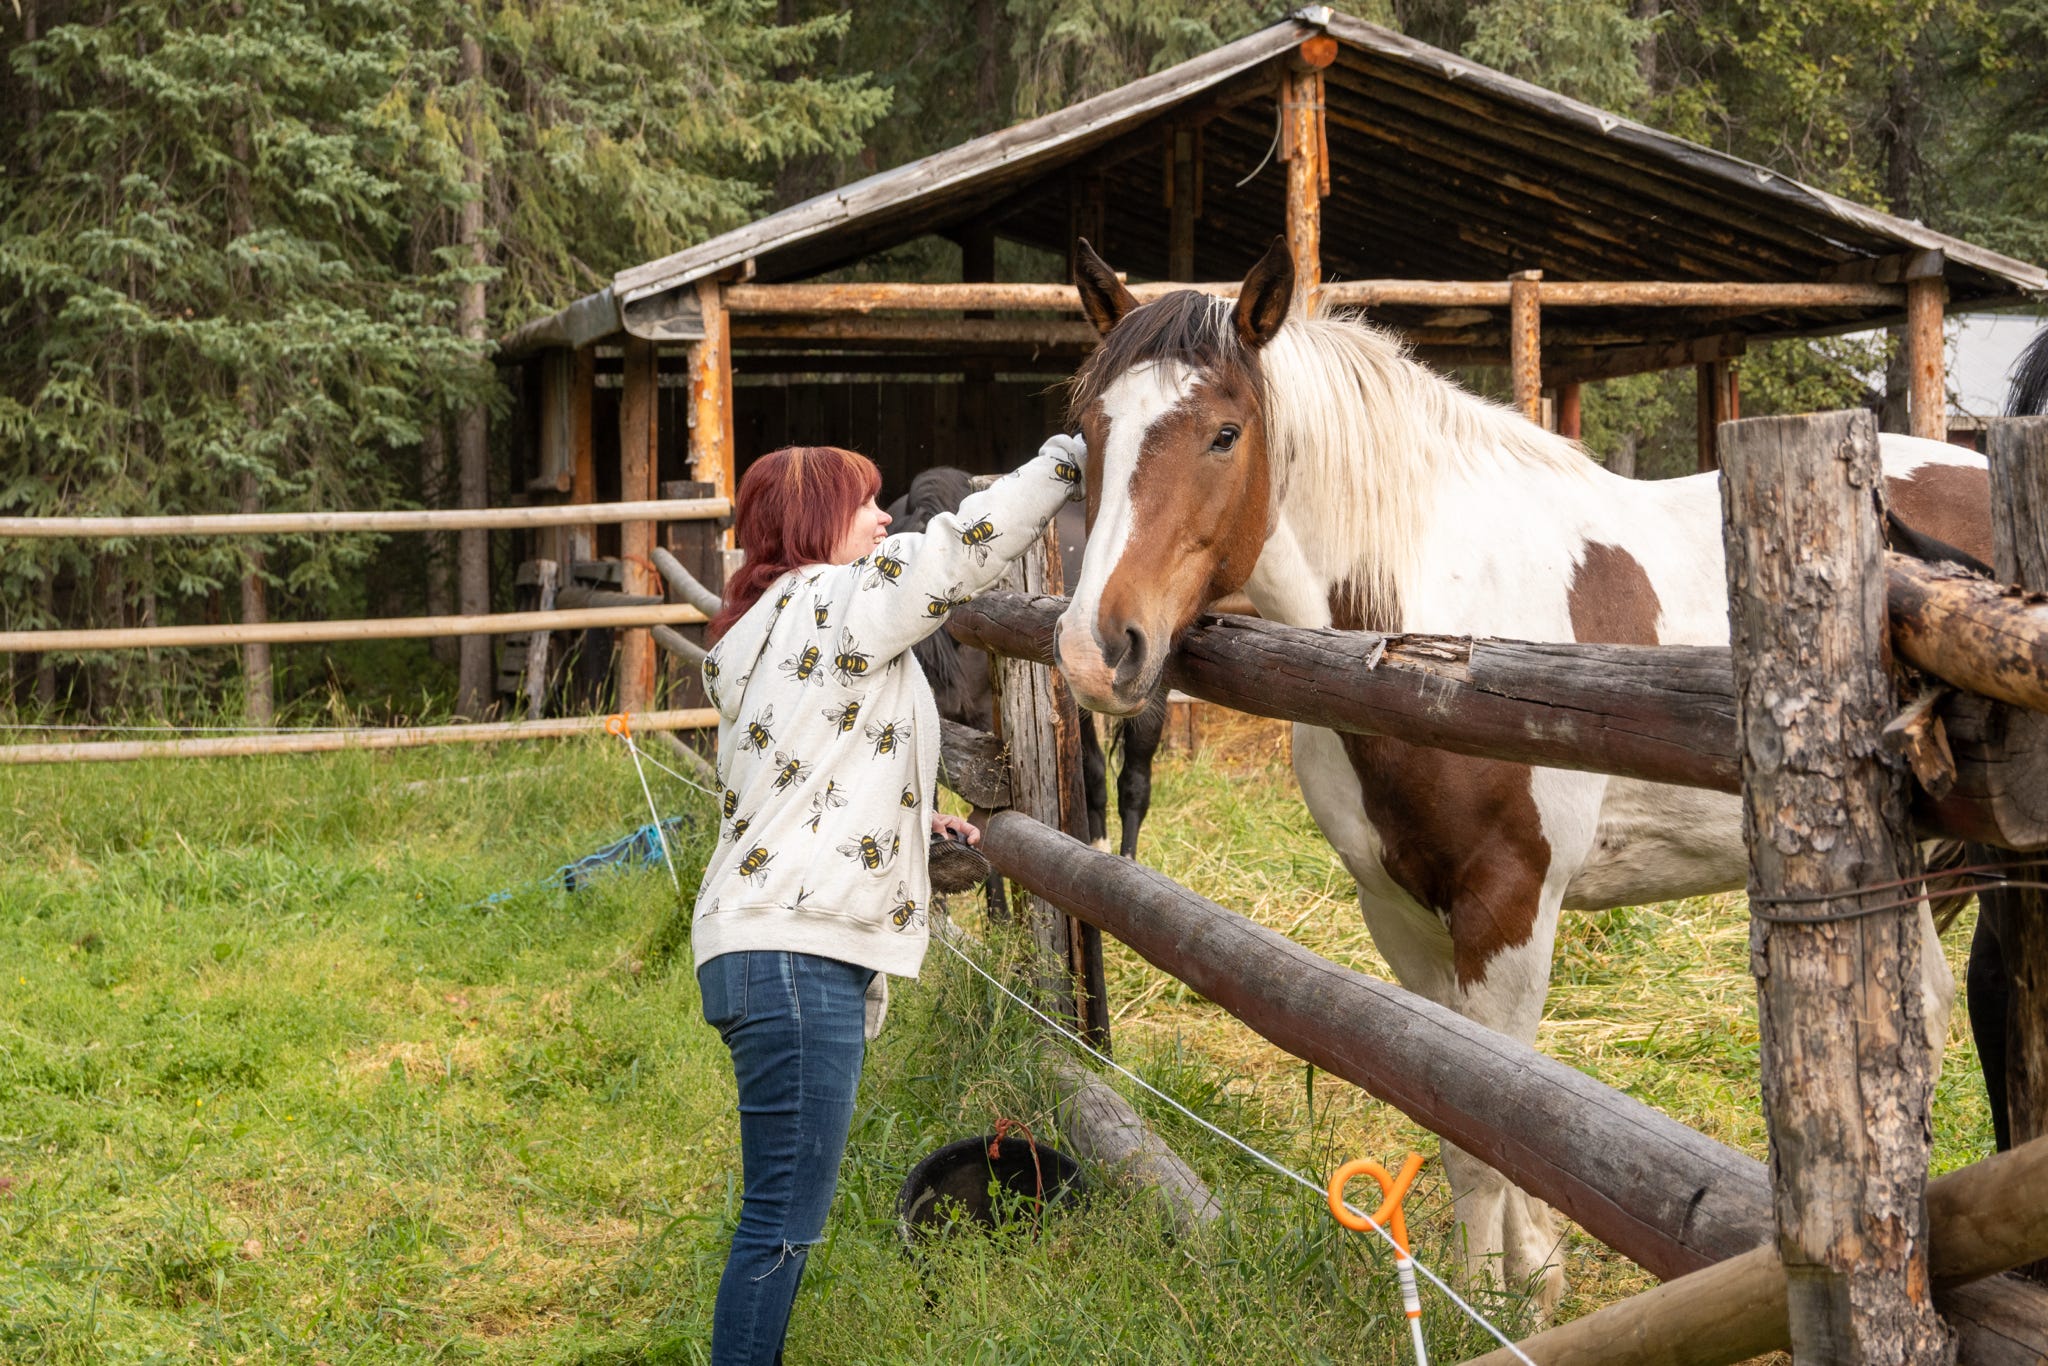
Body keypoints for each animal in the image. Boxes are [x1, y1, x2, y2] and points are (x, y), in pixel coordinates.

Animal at [1053, 236, 1991, 1310]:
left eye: (1222, 433)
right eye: (1089, 432)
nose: (1095, 650)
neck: (1428, 638)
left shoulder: (1509, 903)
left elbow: (1499, 1102)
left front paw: (1516, 1295)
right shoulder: (1401, 912)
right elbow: (1456, 1106)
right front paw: (1498, 1284)